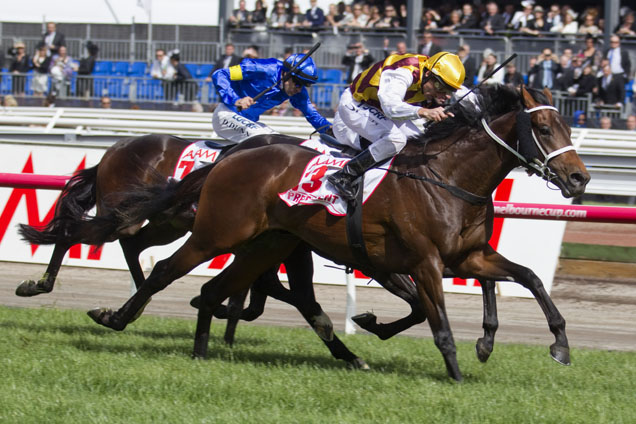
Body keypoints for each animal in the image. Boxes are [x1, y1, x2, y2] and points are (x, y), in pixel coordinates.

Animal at [87, 85, 588, 380]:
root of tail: (231, 157)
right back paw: (116, 316)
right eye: (543, 126)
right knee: (162, 268)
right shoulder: (423, 262)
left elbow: (530, 278)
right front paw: (457, 374)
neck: (448, 177)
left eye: (568, 124)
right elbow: (439, 324)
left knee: (214, 289)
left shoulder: (469, 256)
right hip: (217, 233)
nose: (579, 178)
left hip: (269, 243)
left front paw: (560, 345)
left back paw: (202, 351)